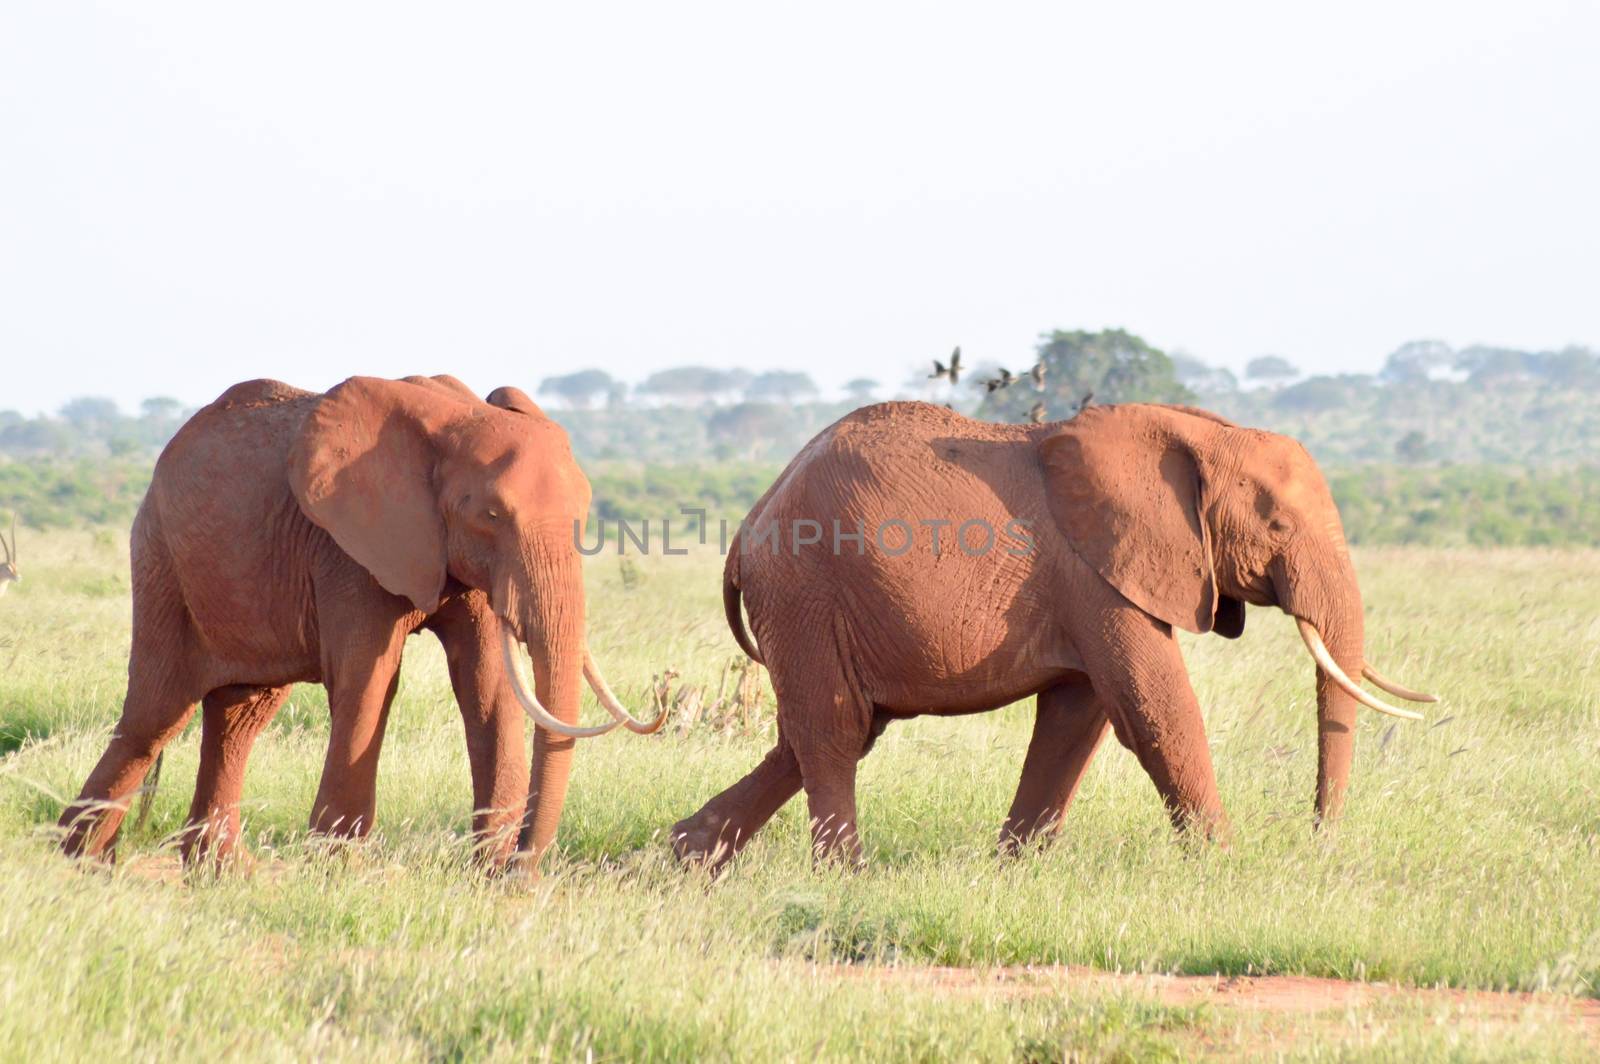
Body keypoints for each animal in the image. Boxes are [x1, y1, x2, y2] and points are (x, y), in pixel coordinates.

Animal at [56, 369, 656, 870]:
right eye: (490, 515)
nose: (520, 868)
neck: (451, 422)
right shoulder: (347, 549)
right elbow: (371, 677)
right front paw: (335, 867)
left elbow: (484, 685)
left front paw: (488, 873)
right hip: (162, 558)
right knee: (155, 715)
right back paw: (79, 860)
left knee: (240, 716)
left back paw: (218, 872)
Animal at [668, 403, 1433, 870]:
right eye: (1277, 525)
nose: (1317, 844)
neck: (1193, 431)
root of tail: (748, 526)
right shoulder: (1097, 572)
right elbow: (1153, 709)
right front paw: (1225, 868)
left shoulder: (1095, 581)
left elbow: (1076, 718)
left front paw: (1012, 871)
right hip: (805, 589)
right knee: (833, 730)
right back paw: (845, 878)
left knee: (827, 732)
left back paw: (689, 857)